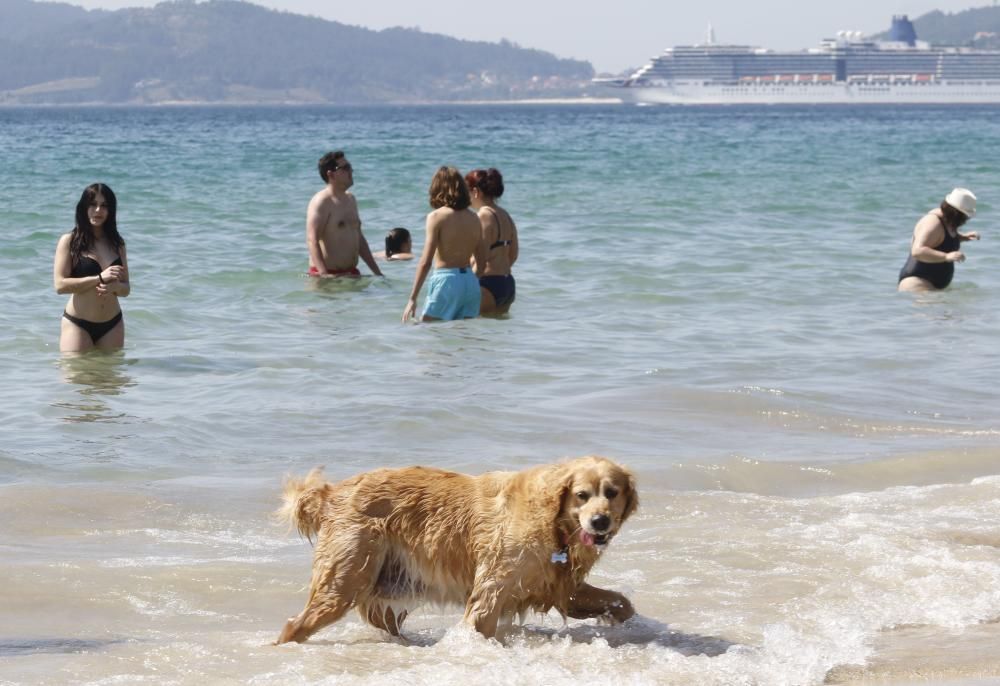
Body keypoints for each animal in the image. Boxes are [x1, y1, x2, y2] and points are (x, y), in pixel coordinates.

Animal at [276, 456, 632, 644]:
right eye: (582, 495)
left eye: (612, 492)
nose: (600, 521)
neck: (553, 523)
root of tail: (331, 492)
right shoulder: (493, 588)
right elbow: (481, 622)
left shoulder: (561, 585)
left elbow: (620, 601)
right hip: (345, 578)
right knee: (296, 624)